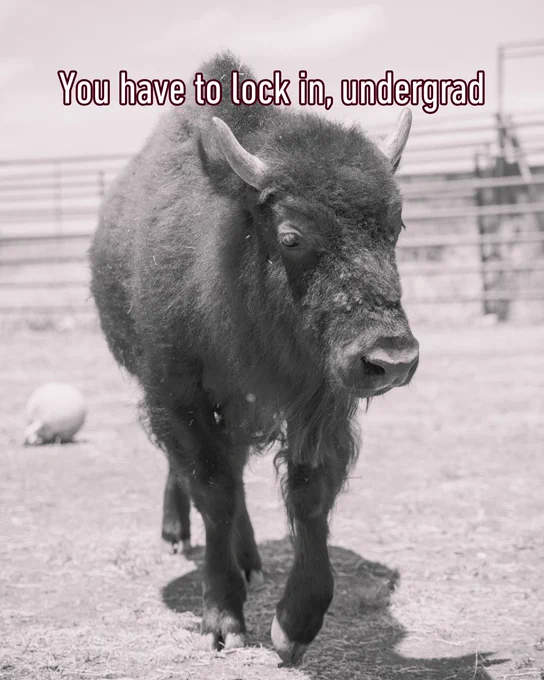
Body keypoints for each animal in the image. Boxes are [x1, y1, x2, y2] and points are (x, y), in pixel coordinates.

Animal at [90, 52, 419, 665]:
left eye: (395, 226)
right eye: (291, 235)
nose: (391, 358)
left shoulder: (319, 400)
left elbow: (310, 495)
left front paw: (293, 626)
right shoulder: (179, 395)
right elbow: (213, 490)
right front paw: (223, 620)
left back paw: (250, 560)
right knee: (193, 475)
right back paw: (178, 536)